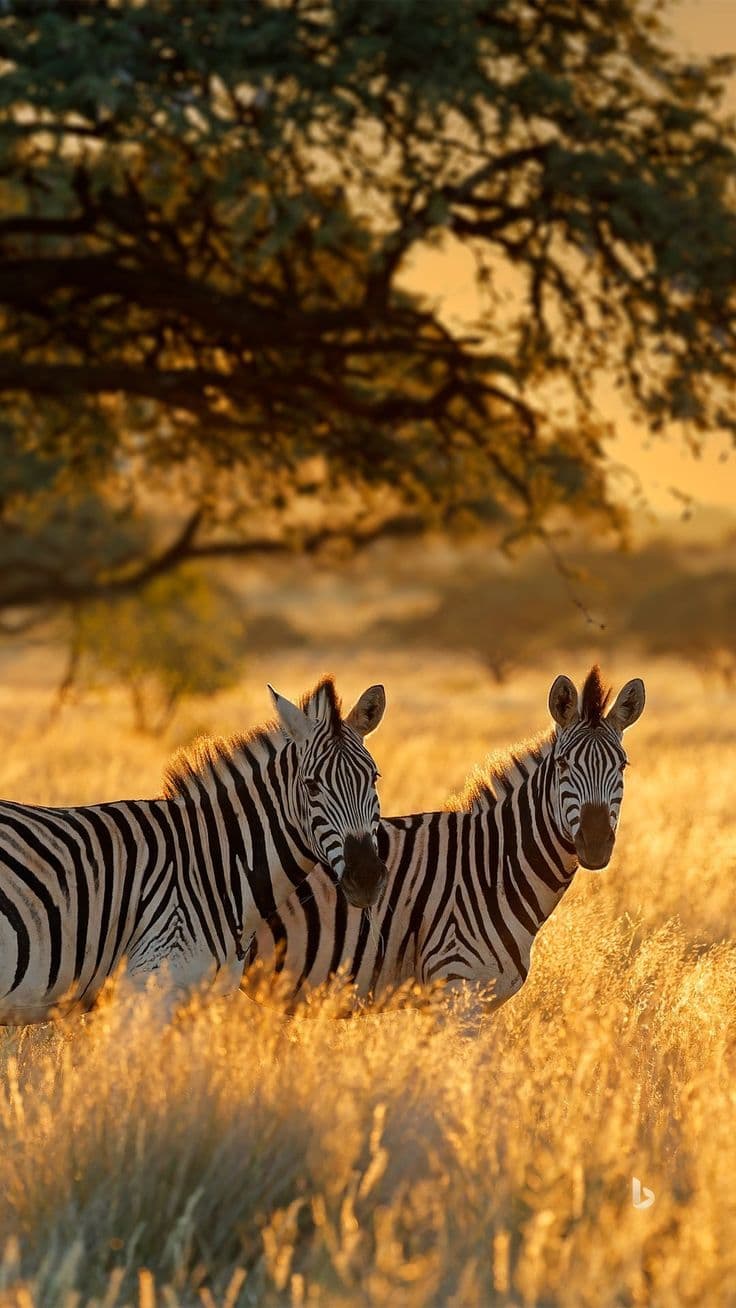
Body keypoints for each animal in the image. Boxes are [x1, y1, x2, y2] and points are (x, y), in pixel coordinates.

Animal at [0, 677, 386, 1024]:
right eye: (311, 785)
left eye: (374, 778)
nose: (366, 877)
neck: (217, 866)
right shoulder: (148, 987)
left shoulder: (202, 997)